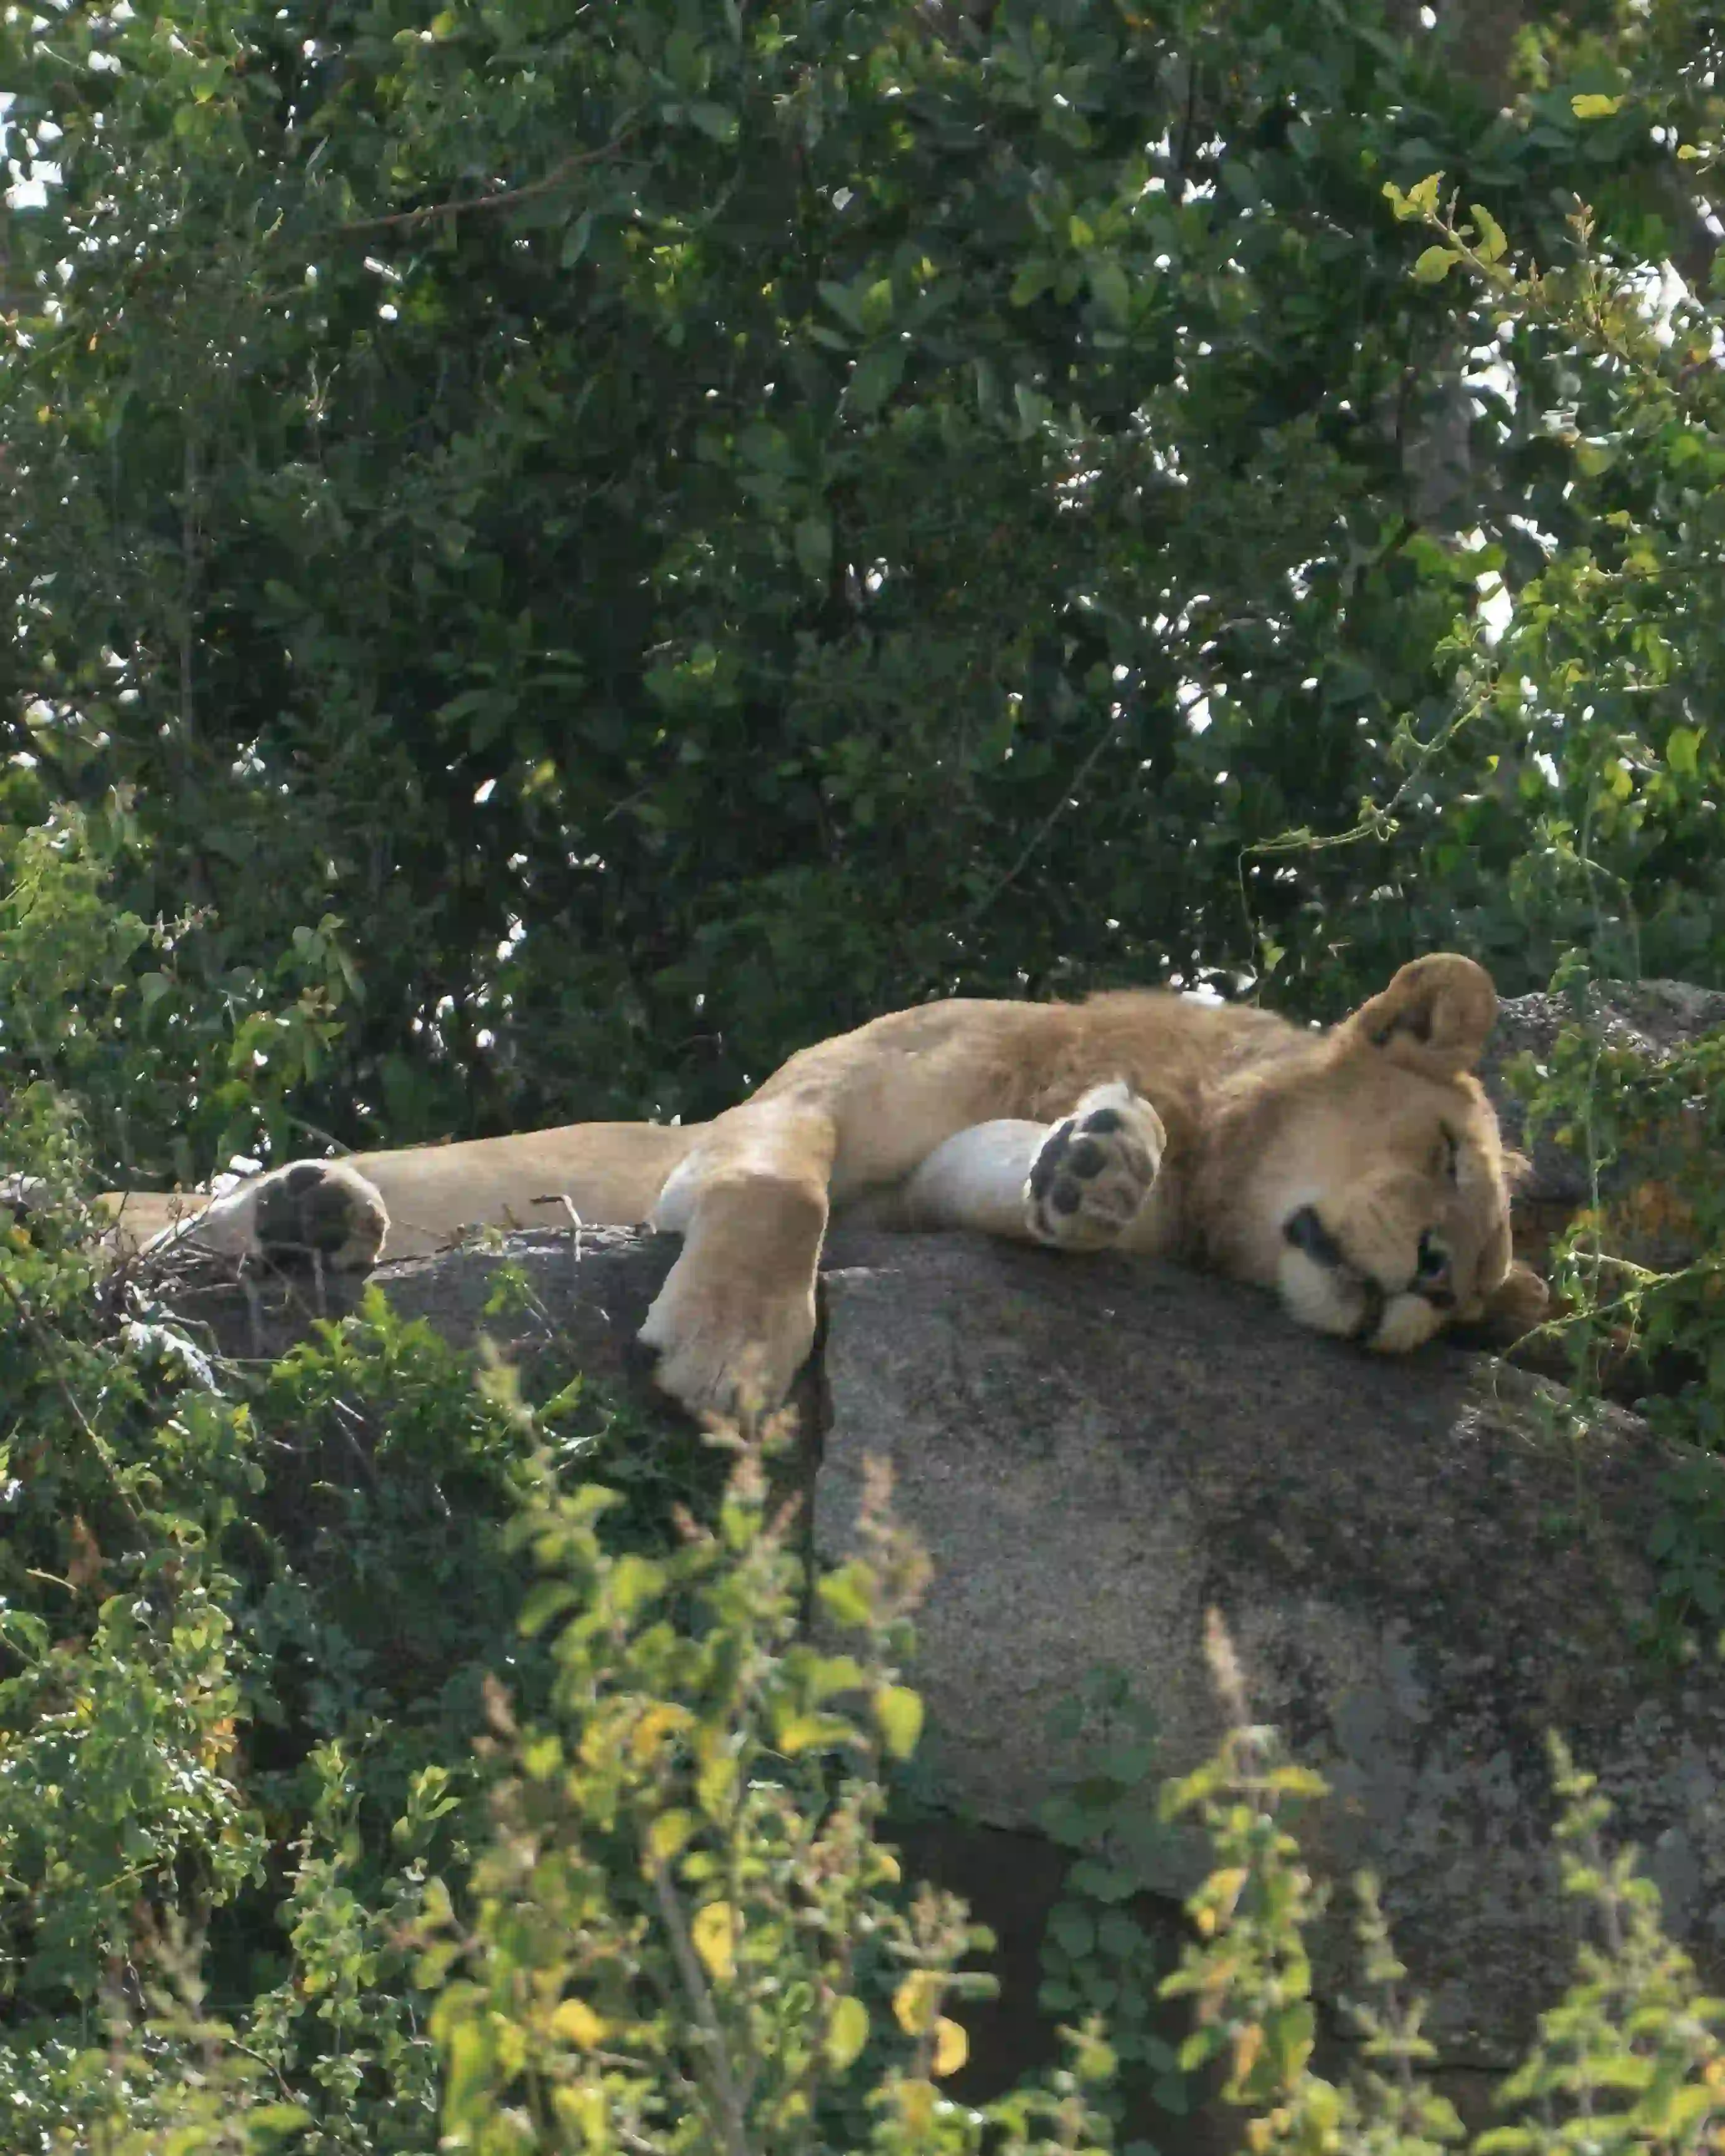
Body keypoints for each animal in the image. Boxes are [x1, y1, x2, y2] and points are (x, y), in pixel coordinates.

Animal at [92, 951, 1546, 1418]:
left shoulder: (925, 1193)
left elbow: (1012, 1175)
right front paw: (733, 1347)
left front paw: (1089, 1163)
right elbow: (780, 1196)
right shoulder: (795, 1103)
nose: (1422, 1285)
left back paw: (317, 1215)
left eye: (1473, 1301)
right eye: (1444, 1154)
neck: (1208, 1148)